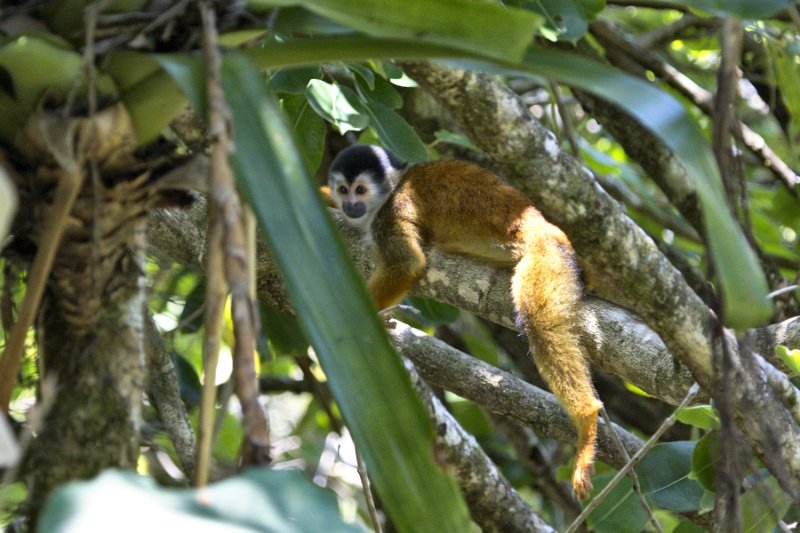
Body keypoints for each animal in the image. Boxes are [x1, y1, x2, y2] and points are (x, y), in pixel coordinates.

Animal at [324, 142, 600, 498]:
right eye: (343, 190)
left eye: (360, 190)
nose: (350, 205)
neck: (391, 190)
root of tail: (549, 229)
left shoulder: (391, 215)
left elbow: (408, 264)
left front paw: (358, 315)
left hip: (545, 258)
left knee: (539, 324)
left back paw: (586, 420)